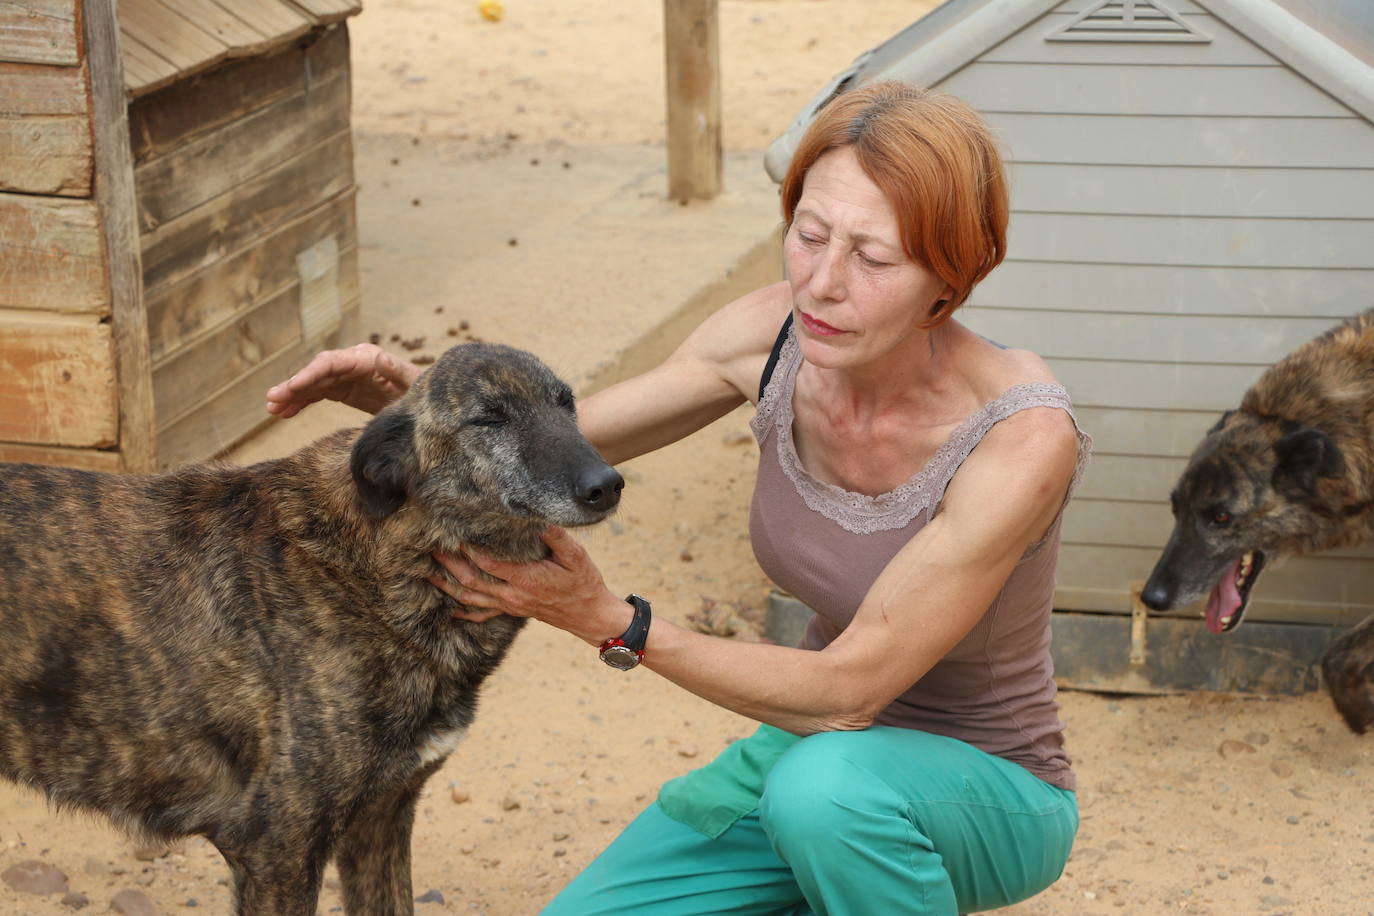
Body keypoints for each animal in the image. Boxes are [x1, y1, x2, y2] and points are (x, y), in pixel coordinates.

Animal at [0, 343, 623, 916]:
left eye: (566, 404)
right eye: (489, 418)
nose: (607, 484)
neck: (376, 564)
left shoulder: (380, 821)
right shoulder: (276, 848)